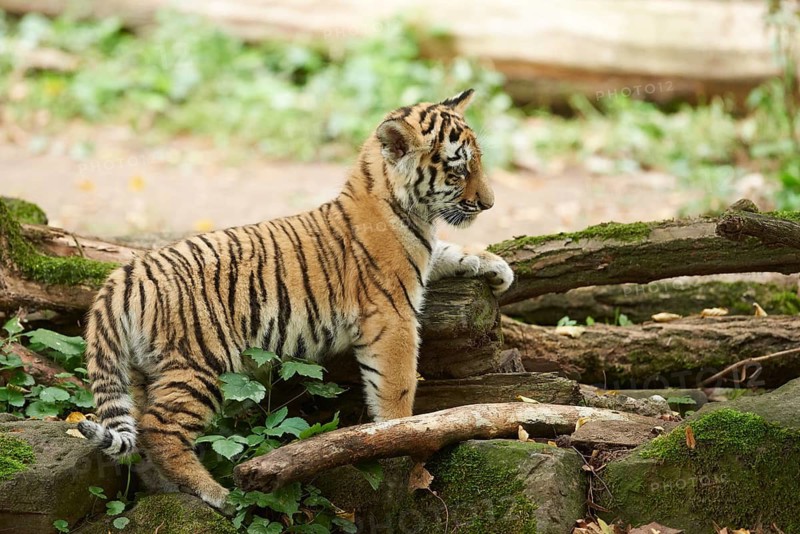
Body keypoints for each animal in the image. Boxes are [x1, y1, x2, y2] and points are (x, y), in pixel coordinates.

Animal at [77, 89, 514, 509]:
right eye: (459, 169)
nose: (490, 203)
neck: (403, 205)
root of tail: (125, 274)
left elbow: (449, 251)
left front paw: (498, 269)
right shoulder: (392, 317)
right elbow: (397, 387)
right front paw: (402, 439)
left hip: (142, 372)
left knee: (141, 441)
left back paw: (167, 490)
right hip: (202, 361)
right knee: (159, 429)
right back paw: (217, 494)